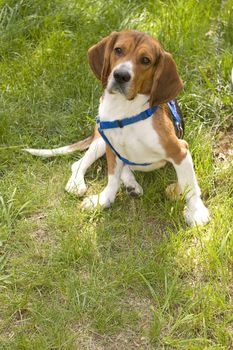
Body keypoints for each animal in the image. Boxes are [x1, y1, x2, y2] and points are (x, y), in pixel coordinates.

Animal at [24, 30, 210, 227]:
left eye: (146, 60)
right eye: (118, 50)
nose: (120, 75)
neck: (125, 112)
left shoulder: (180, 150)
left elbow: (191, 187)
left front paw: (196, 211)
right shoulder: (111, 148)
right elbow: (112, 178)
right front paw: (103, 200)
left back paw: (131, 184)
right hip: (100, 141)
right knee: (80, 163)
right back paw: (80, 183)